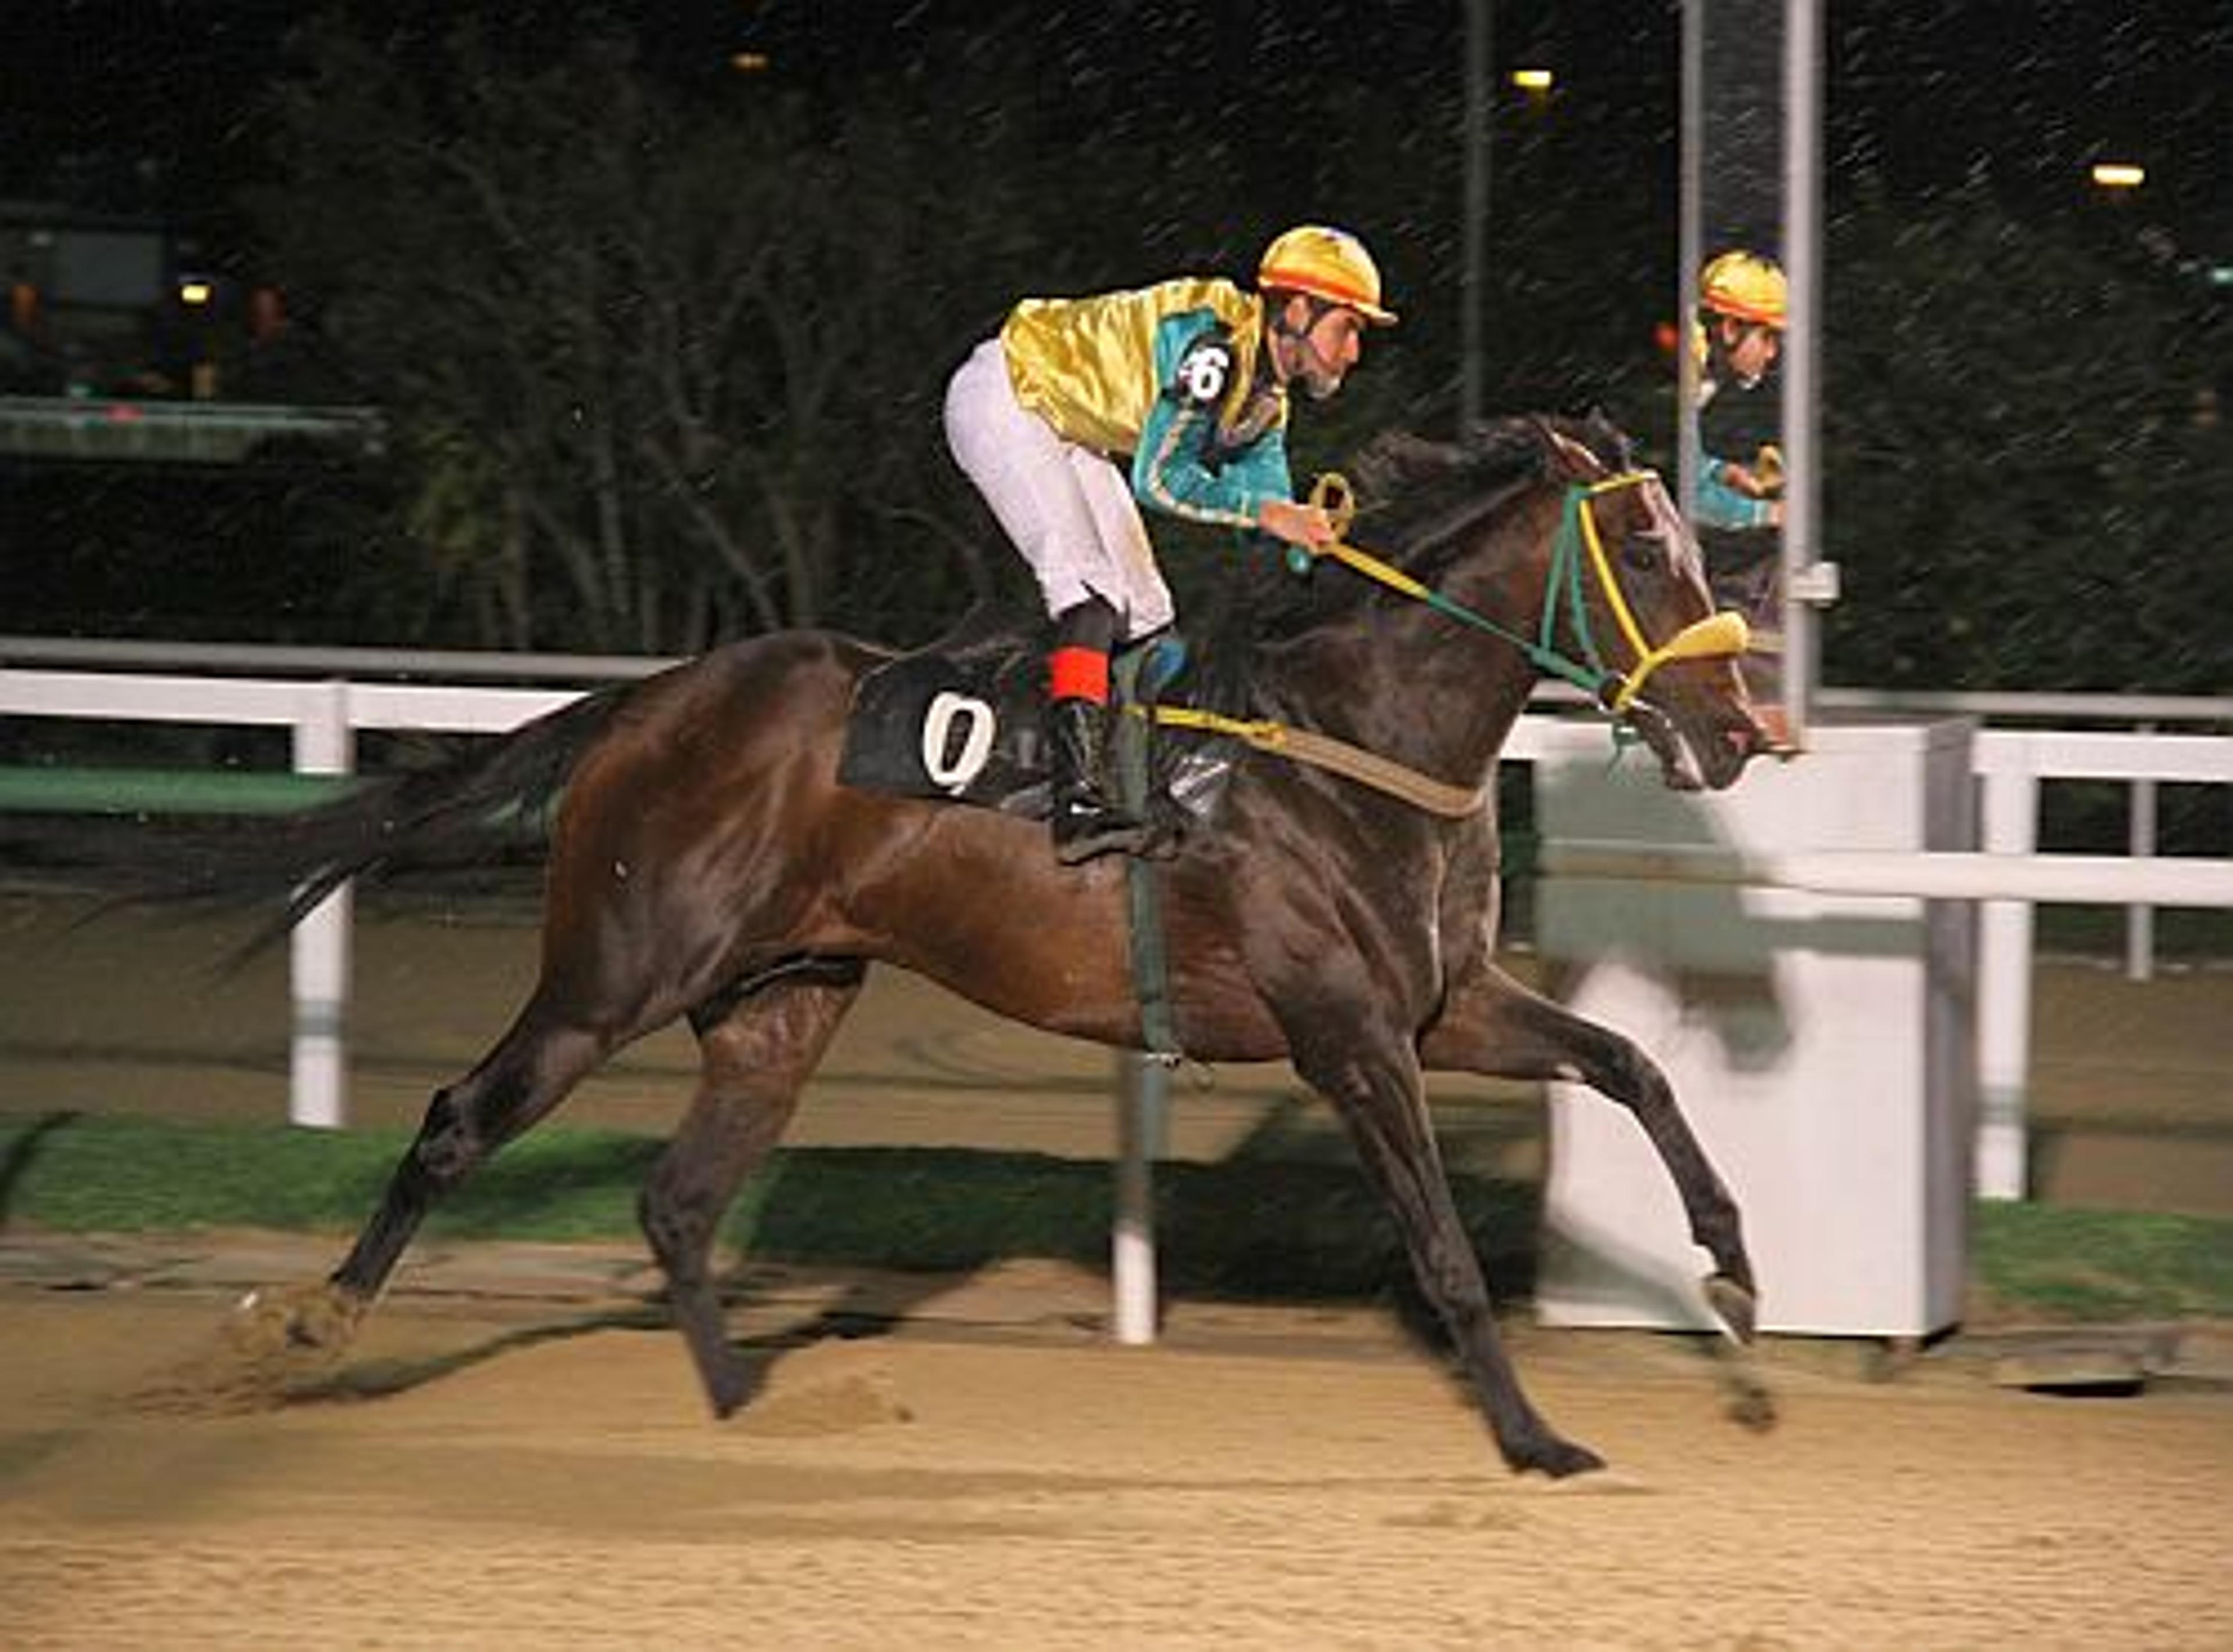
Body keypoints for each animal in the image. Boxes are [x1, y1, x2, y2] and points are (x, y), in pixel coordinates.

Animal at [113, 413, 1759, 1473]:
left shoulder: (1444, 1003)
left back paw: (748, 1406)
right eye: (1640, 547)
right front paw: (1536, 1435)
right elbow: (1442, 1248)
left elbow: (1632, 1065)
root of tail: (650, 700)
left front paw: (1733, 1275)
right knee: (459, 1122)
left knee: (679, 1198)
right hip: (612, 974)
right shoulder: (1347, 1034)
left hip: (780, 998)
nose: (1740, 728)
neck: (1350, 735)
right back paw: (312, 1325)